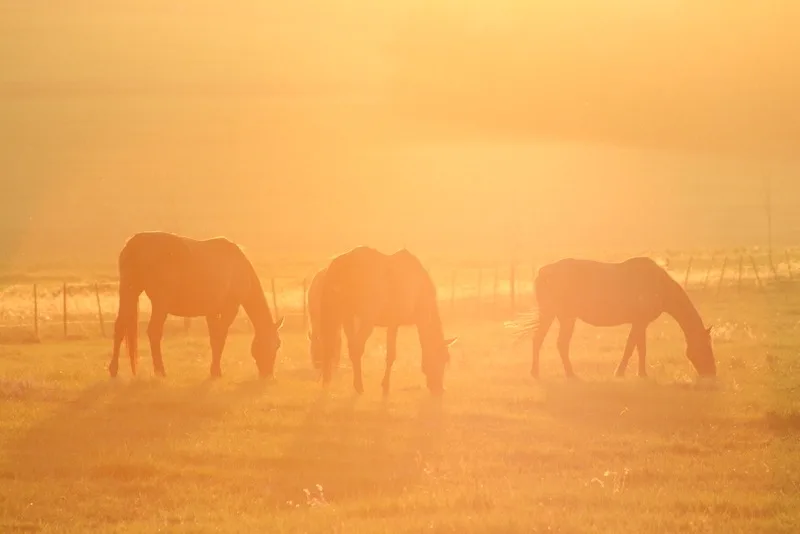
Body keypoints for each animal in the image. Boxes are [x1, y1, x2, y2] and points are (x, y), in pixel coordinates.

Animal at [109, 234, 284, 382]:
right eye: (276, 345)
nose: (268, 374)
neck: (238, 268)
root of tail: (135, 244)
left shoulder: (212, 312)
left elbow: (215, 339)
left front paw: (215, 370)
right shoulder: (229, 309)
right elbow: (221, 337)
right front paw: (216, 371)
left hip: (128, 293)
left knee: (119, 327)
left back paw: (113, 370)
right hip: (160, 304)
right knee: (154, 332)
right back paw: (160, 371)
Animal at [318, 249, 460, 396]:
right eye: (441, 358)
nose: (439, 389)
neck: (419, 290)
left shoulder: (392, 325)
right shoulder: (393, 323)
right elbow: (391, 355)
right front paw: (385, 385)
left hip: (344, 316)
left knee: (332, 346)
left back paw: (327, 382)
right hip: (365, 320)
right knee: (356, 348)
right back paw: (358, 386)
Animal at [520, 258, 716, 382]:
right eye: (706, 347)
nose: (712, 374)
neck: (660, 285)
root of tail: (543, 272)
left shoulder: (641, 323)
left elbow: (639, 348)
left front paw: (641, 374)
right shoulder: (639, 323)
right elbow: (632, 347)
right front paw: (621, 373)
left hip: (554, 315)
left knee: (540, 340)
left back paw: (537, 373)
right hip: (562, 316)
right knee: (558, 343)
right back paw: (569, 374)